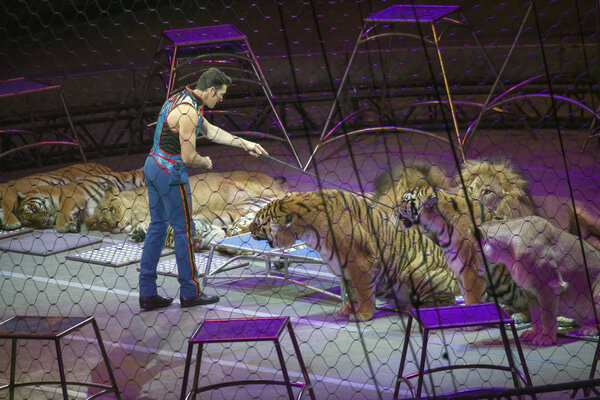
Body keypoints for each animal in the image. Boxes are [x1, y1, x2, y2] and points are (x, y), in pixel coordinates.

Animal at [248, 189, 460, 324]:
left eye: (259, 223)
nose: (248, 229)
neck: (307, 228)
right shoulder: (343, 267)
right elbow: (351, 293)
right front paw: (349, 310)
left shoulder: (360, 263)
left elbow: (364, 291)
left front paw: (363, 315)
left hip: (414, 270)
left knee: (447, 302)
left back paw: (419, 307)